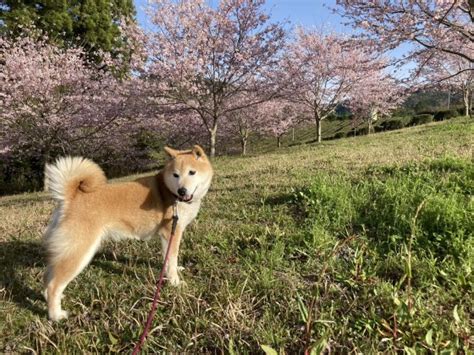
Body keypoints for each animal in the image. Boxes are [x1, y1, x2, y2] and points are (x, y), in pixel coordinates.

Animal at [42, 146, 213, 322]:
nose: (182, 190)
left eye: (192, 172)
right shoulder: (171, 232)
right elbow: (171, 259)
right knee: (54, 285)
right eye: (176, 175)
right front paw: (176, 283)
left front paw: (175, 271)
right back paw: (56, 315)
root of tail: (71, 197)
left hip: (65, 251)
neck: (169, 192)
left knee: (48, 277)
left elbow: (169, 260)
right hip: (79, 252)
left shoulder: (168, 236)